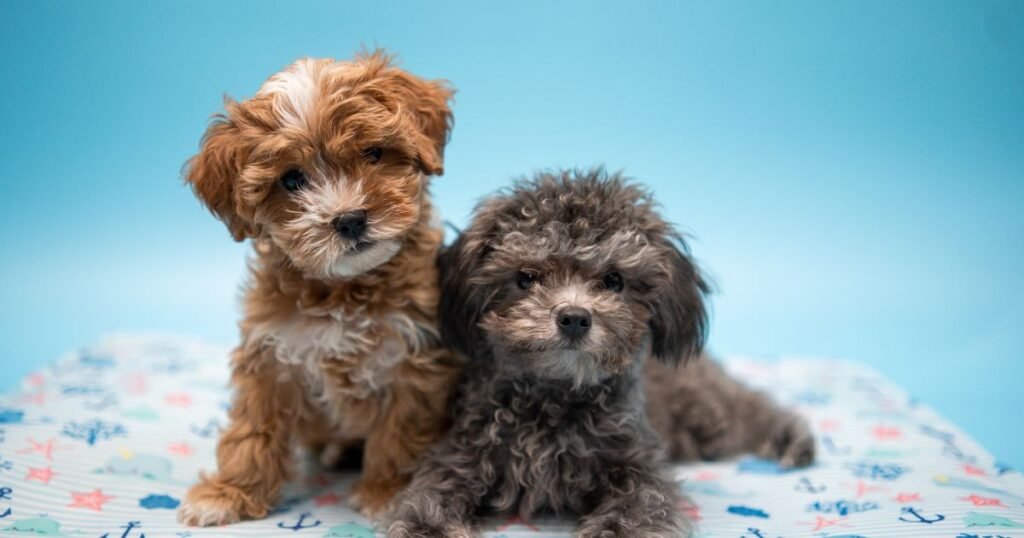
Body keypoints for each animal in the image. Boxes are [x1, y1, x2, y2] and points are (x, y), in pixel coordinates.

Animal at [179, 53, 460, 524]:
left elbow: (400, 430)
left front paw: (387, 491)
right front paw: (229, 492)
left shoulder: (413, 358)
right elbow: (253, 427)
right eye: (292, 180)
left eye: (373, 153)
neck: (344, 289)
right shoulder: (270, 352)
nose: (349, 219)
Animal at [387, 169, 811, 536]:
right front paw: (428, 527)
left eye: (613, 280)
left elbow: (639, 505)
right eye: (525, 278)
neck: (556, 399)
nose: (574, 317)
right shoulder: (462, 455)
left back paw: (793, 439)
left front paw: (616, 530)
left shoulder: (638, 466)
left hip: (702, 409)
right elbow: (432, 493)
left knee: (749, 408)